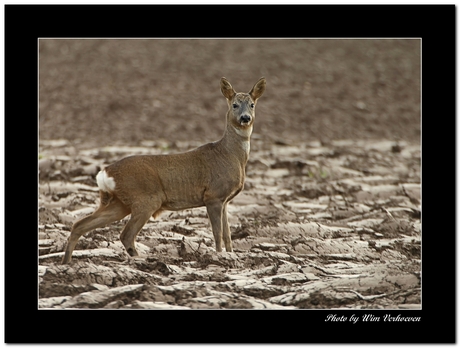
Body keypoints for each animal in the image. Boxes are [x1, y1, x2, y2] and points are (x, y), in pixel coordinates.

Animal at [63, 77, 268, 264]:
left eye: (252, 104)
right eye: (234, 105)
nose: (245, 118)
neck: (229, 155)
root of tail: (105, 173)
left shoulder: (225, 200)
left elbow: (227, 234)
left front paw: (231, 255)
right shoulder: (213, 196)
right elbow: (217, 233)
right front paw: (219, 257)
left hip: (119, 203)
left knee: (80, 224)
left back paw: (66, 263)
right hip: (146, 198)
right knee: (126, 234)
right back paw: (143, 259)